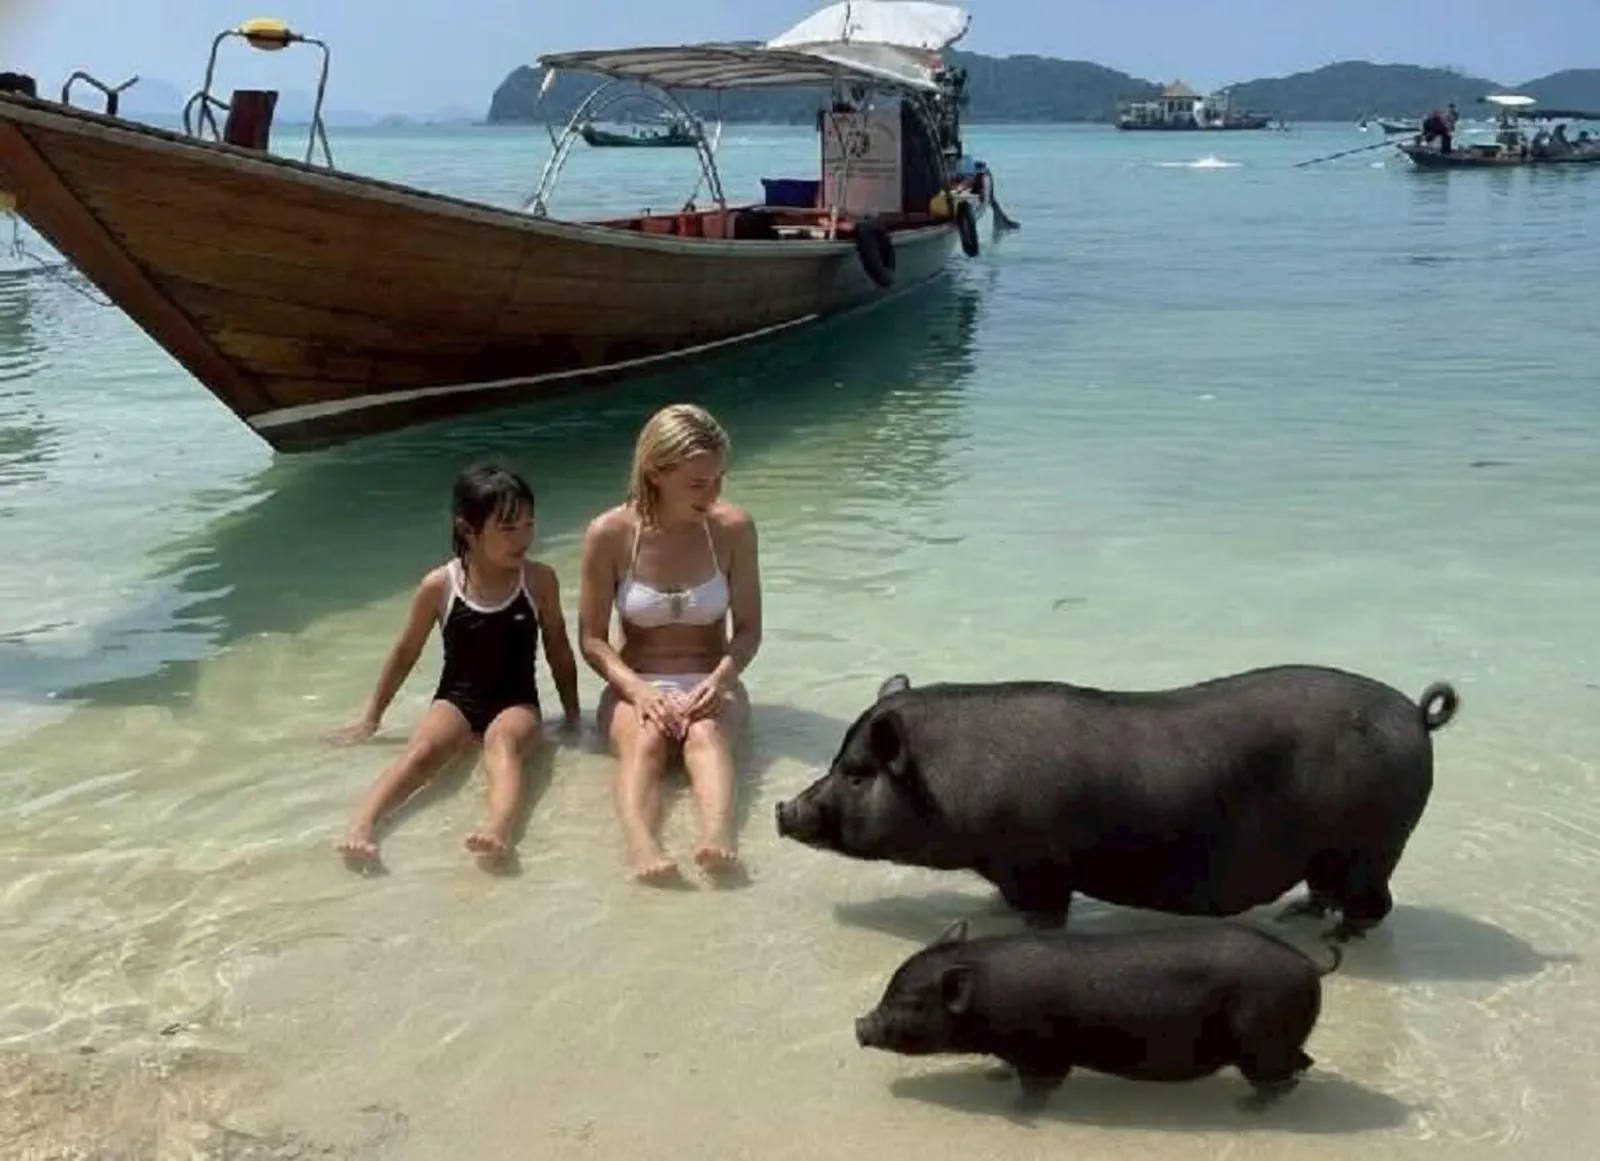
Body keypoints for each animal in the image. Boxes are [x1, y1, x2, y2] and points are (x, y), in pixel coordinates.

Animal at [775, 665, 1460, 939]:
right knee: (1324, 891)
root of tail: (1417, 716)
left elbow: (1044, 914)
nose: (784, 810)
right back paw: (1295, 918)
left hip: (1374, 845)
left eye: (856, 773)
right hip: (1333, 854)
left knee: (1373, 904)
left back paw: (1338, 938)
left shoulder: (1038, 867)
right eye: (836, 762)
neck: (949, 786)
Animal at [853, 917, 1342, 1110]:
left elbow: (1039, 1085)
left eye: (910, 1003)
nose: (860, 1024)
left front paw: (1014, 1106)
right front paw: (993, 1078)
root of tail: (1309, 963)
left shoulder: (1042, 1052)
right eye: (890, 989)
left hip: (1261, 1038)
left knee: (1279, 1076)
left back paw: (1245, 1109)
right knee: (1303, 1063)